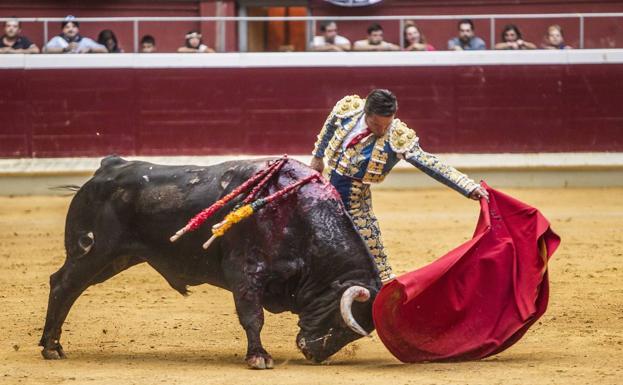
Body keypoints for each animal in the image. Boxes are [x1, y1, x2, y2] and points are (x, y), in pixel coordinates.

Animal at [40, 157, 380, 368]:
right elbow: (252, 316)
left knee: (67, 286)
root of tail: (106, 168)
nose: (313, 353)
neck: (297, 216)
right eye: (342, 320)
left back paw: (52, 344)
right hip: (93, 252)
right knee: (64, 285)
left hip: (117, 259)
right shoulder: (244, 273)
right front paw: (258, 357)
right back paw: (51, 347)